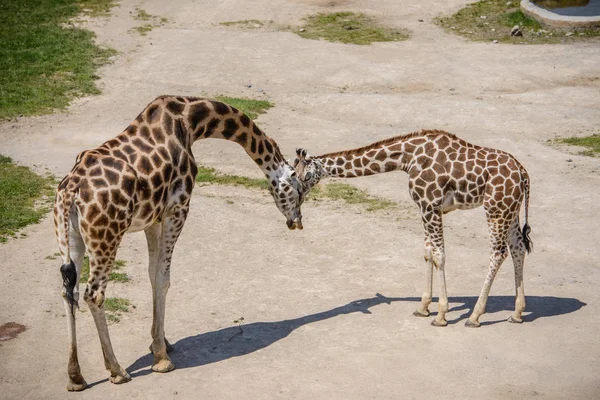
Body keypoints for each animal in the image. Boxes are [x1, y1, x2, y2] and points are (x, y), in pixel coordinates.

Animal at [54, 94, 308, 390]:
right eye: (299, 190)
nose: (297, 221)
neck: (191, 122)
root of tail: (71, 192)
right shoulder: (178, 208)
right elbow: (164, 278)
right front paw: (162, 359)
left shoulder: (153, 218)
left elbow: (153, 275)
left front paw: (161, 343)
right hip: (107, 235)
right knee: (93, 294)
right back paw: (117, 370)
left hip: (70, 237)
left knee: (68, 292)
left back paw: (75, 377)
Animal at [292, 130, 532, 328]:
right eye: (293, 174)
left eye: (306, 176)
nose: (298, 196)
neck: (408, 158)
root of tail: (523, 173)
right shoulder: (424, 208)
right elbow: (428, 253)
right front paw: (423, 307)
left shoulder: (430, 205)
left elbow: (439, 255)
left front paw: (441, 315)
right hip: (511, 209)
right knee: (518, 248)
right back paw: (517, 313)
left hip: (495, 208)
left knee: (498, 253)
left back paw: (475, 316)